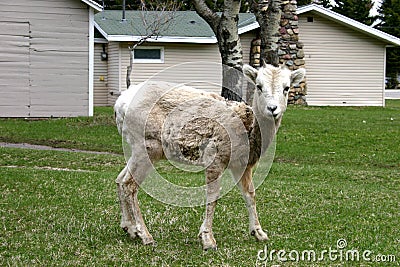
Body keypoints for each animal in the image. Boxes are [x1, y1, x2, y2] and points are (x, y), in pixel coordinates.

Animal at [114, 62, 304, 251]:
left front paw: (259, 233)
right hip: (147, 146)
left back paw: (129, 228)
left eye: (286, 88)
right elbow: (213, 196)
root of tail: (120, 105)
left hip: (137, 149)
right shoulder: (215, 157)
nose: (272, 109)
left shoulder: (242, 165)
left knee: (120, 179)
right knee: (129, 184)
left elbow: (250, 194)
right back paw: (145, 236)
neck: (248, 130)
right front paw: (208, 240)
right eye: (259, 86)